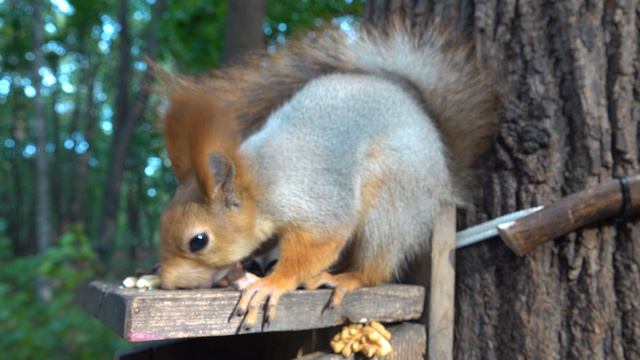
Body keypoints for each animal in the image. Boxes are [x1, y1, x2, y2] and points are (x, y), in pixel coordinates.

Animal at [154, 14, 500, 330]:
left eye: (198, 241)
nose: (168, 283)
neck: (260, 182)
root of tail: (445, 171)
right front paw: (241, 270)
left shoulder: (317, 203)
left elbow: (317, 245)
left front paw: (271, 284)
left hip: (393, 203)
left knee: (377, 267)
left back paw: (348, 277)